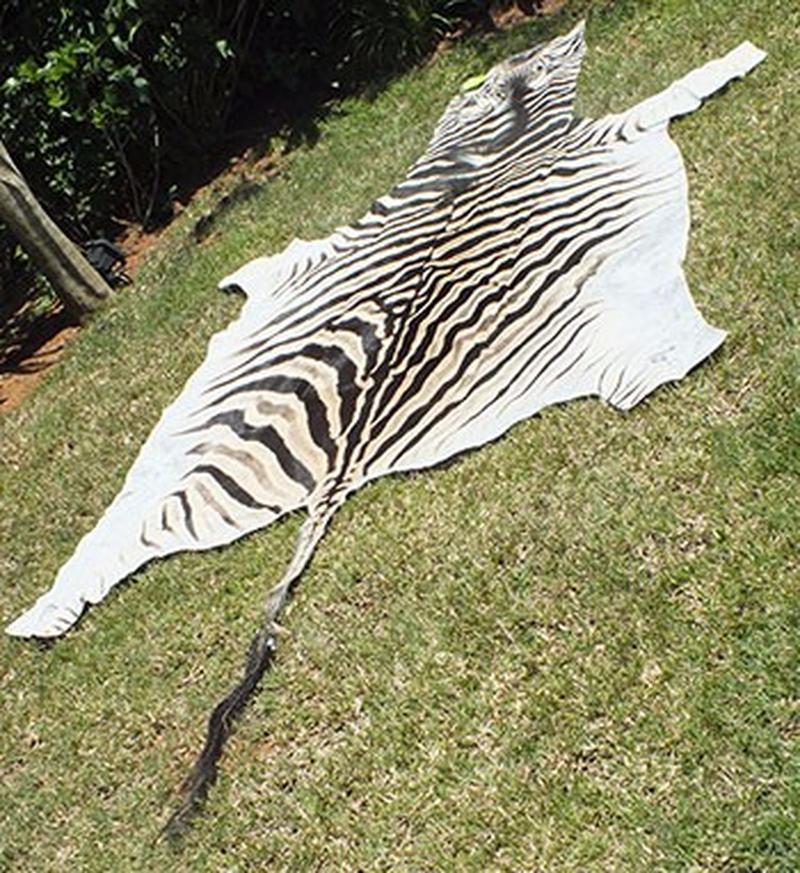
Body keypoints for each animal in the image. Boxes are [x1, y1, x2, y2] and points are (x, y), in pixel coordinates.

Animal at [6, 22, 765, 832]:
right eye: (506, 74)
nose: (560, 34)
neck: (485, 151)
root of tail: (345, 459)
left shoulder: (315, 249)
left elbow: (274, 260)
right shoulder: (620, 127)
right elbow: (682, 90)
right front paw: (743, 57)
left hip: (192, 453)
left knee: (119, 537)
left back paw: (38, 618)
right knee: (655, 357)